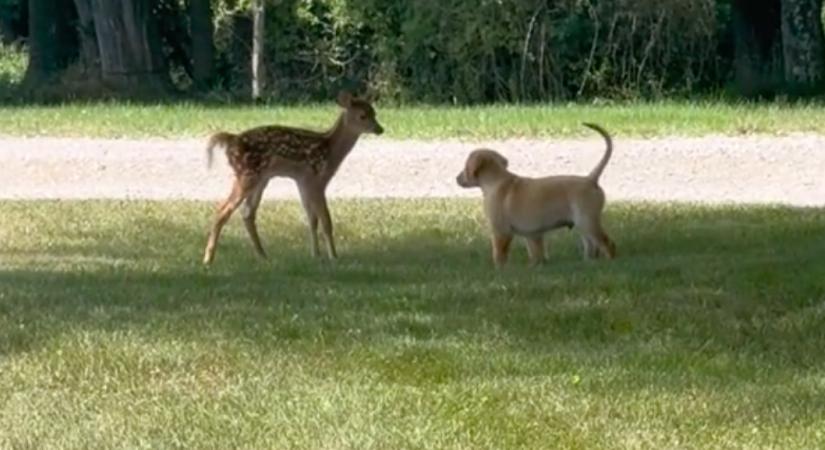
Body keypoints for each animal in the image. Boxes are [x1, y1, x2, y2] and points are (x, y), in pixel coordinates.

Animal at [454, 121, 616, 266]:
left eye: (465, 167)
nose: (456, 178)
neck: (496, 180)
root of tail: (591, 179)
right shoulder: (532, 235)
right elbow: (536, 253)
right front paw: (536, 266)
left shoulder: (500, 231)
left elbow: (499, 255)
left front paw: (499, 270)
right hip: (582, 224)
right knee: (591, 245)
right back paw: (588, 263)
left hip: (587, 220)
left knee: (607, 243)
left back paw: (610, 263)